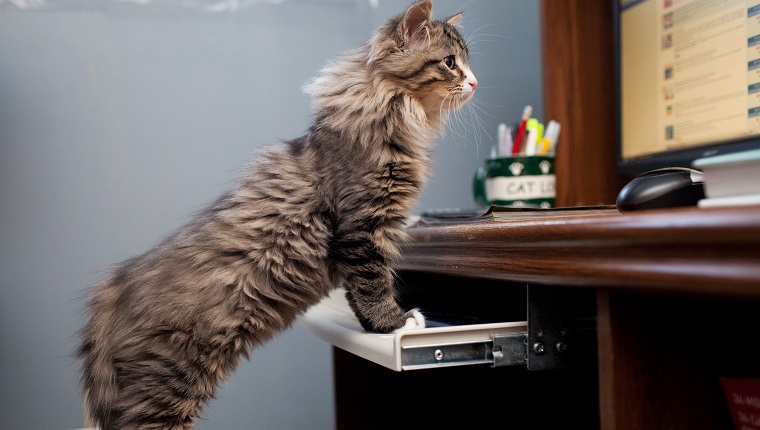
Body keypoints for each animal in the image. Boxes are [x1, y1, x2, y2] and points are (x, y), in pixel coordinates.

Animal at [78, 1, 476, 428]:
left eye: (467, 62)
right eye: (450, 62)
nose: (475, 83)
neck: (397, 112)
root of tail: (112, 290)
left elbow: (358, 295)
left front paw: (377, 326)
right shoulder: (362, 228)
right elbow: (372, 285)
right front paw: (395, 323)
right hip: (165, 389)